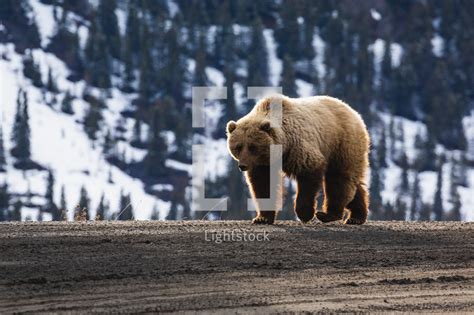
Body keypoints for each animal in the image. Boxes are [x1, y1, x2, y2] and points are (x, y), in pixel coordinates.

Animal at [226, 95, 370, 226]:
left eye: (252, 147)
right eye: (238, 147)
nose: (243, 165)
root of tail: (354, 112)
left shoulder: (298, 147)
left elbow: (309, 175)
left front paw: (304, 213)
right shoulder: (262, 164)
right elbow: (263, 185)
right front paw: (262, 218)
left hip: (341, 143)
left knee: (339, 178)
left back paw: (328, 214)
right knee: (353, 183)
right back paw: (356, 217)